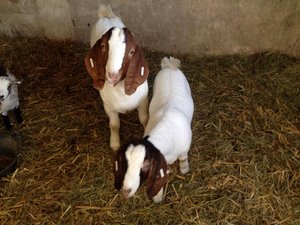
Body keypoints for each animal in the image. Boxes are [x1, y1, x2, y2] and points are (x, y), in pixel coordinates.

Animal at [84, 4, 149, 150]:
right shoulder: (109, 107)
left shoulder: (143, 101)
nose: (112, 75)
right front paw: (115, 144)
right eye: (102, 46)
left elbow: (144, 119)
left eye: (132, 51)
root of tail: (106, 15)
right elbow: (114, 125)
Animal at [113, 56, 195, 202]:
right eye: (125, 163)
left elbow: (183, 159)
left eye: (145, 165)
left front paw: (185, 170)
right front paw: (157, 197)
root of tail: (169, 66)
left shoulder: (184, 150)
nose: (126, 191)